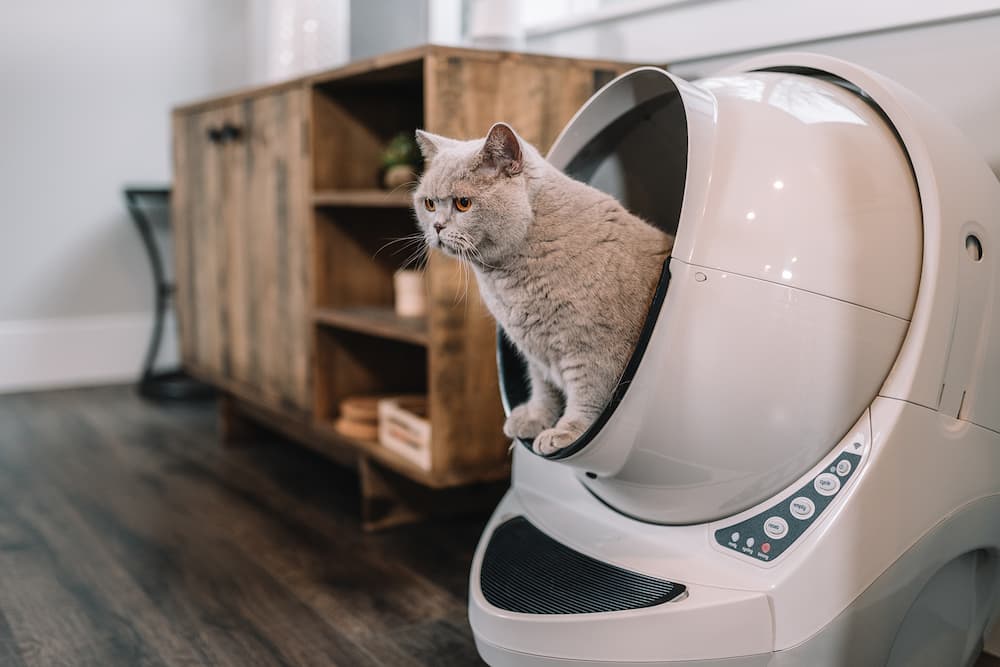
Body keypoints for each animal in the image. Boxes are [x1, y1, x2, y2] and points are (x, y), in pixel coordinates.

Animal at [414, 122, 672, 456]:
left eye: (463, 203)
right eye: (429, 204)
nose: (436, 227)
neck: (508, 280)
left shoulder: (593, 349)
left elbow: (587, 395)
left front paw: (566, 433)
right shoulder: (534, 351)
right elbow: (543, 388)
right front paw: (535, 419)